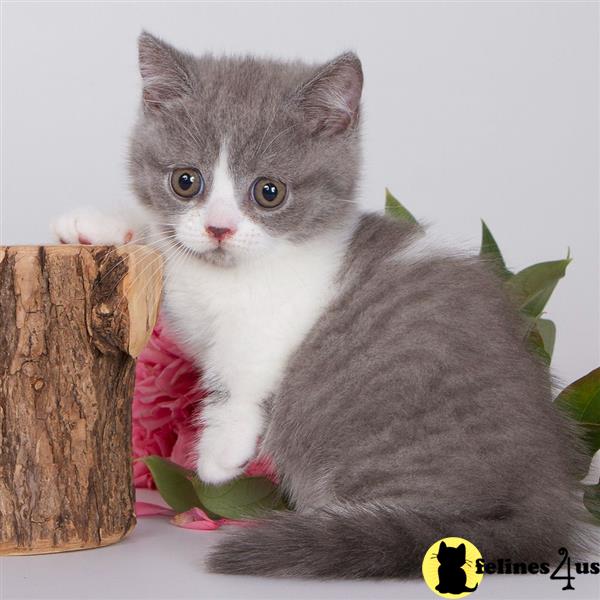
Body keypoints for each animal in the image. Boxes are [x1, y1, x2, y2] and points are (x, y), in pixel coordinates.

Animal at [52, 34, 584, 580]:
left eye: (269, 192)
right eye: (185, 181)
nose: (219, 228)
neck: (230, 271)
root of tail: (551, 495)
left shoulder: (275, 314)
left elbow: (243, 364)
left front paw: (221, 450)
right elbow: (165, 250)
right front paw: (97, 226)